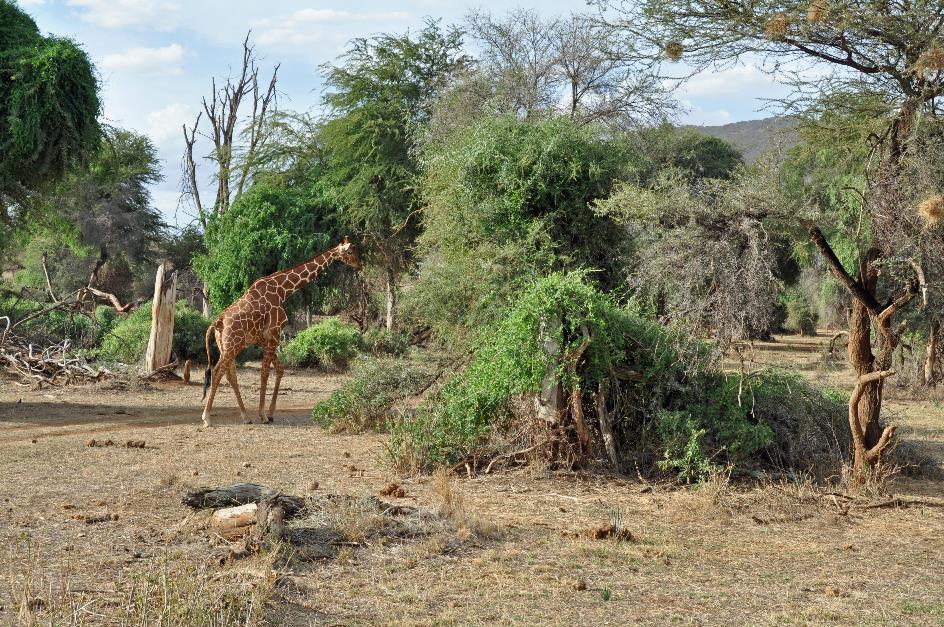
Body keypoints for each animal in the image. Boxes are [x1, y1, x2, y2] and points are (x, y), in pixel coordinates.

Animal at [200, 239, 362, 426]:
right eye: (350, 252)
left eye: (354, 251)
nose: (359, 264)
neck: (283, 290)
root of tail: (218, 322)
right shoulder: (274, 334)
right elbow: (265, 373)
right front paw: (263, 415)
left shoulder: (265, 339)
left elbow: (279, 370)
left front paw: (269, 414)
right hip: (232, 345)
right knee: (217, 372)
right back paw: (207, 417)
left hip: (228, 346)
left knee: (230, 374)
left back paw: (245, 417)